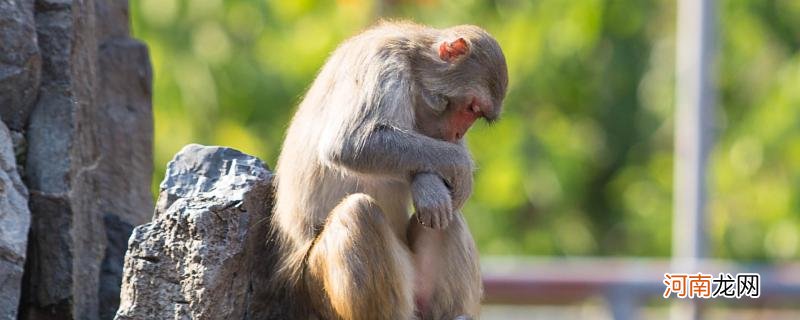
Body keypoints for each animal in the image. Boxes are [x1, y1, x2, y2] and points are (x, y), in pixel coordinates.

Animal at [268, 20, 506, 320]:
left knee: (448, 216)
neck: (414, 64)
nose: (457, 133)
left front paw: (432, 183)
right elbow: (353, 142)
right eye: (471, 107)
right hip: (315, 286)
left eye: (476, 113)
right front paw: (457, 168)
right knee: (359, 213)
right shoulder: (382, 64)